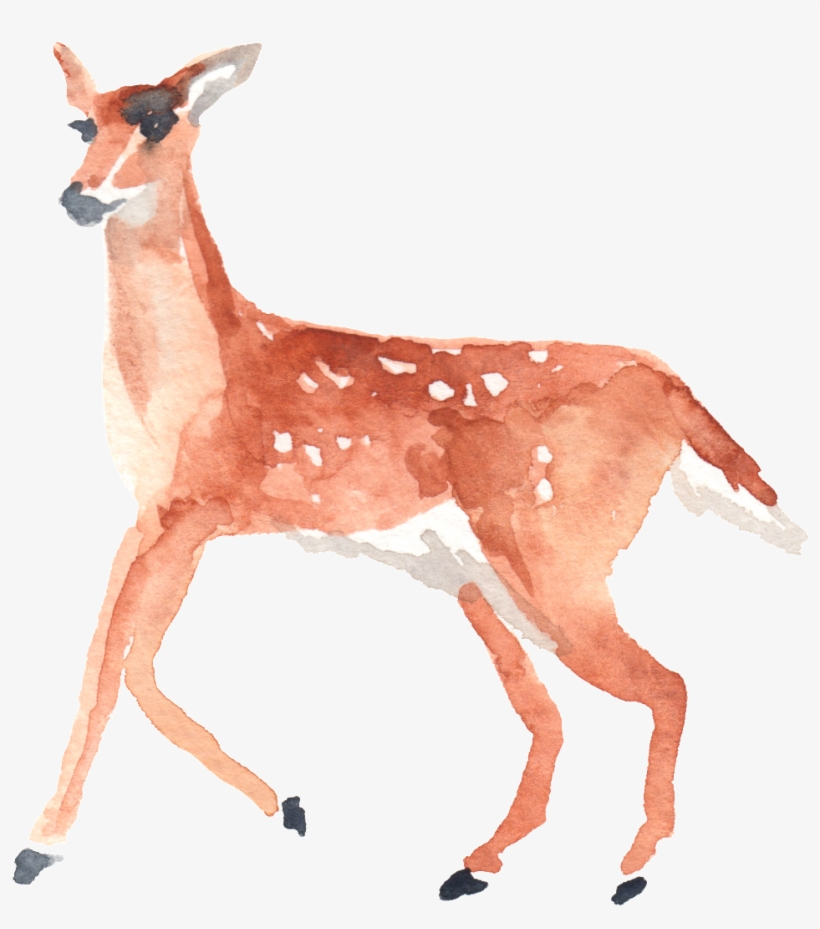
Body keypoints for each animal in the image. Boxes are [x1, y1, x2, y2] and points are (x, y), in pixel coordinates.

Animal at [13, 43, 806, 903]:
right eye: (81, 123)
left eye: (160, 122)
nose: (79, 196)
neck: (196, 374)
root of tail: (667, 384)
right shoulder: (163, 515)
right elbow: (121, 662)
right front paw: (282, 803)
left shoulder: (192, 506)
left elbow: (115, 670)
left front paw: (41, 847)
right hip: (481, 575)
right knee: (556, 712)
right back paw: (476, 863)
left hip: (555, 554)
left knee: (667, 683)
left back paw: (632, 870)